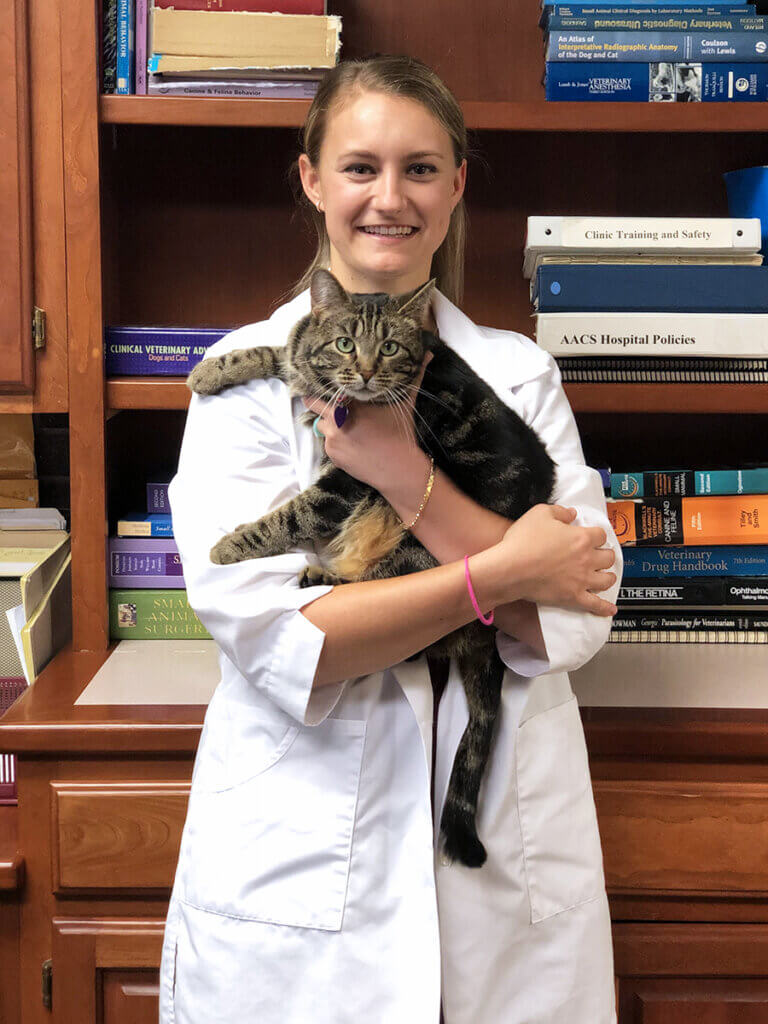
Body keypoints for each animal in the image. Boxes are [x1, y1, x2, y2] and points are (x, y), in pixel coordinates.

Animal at [189, 268, 557, 868]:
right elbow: (276, 350)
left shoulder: (347, 481)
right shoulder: (303, 357)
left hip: (416, 545)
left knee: (390, 583)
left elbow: (293, 514)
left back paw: (325, 576)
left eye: (389, 348)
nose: (362, 371)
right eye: (345, 343)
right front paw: (214, 368)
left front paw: (232, 544)